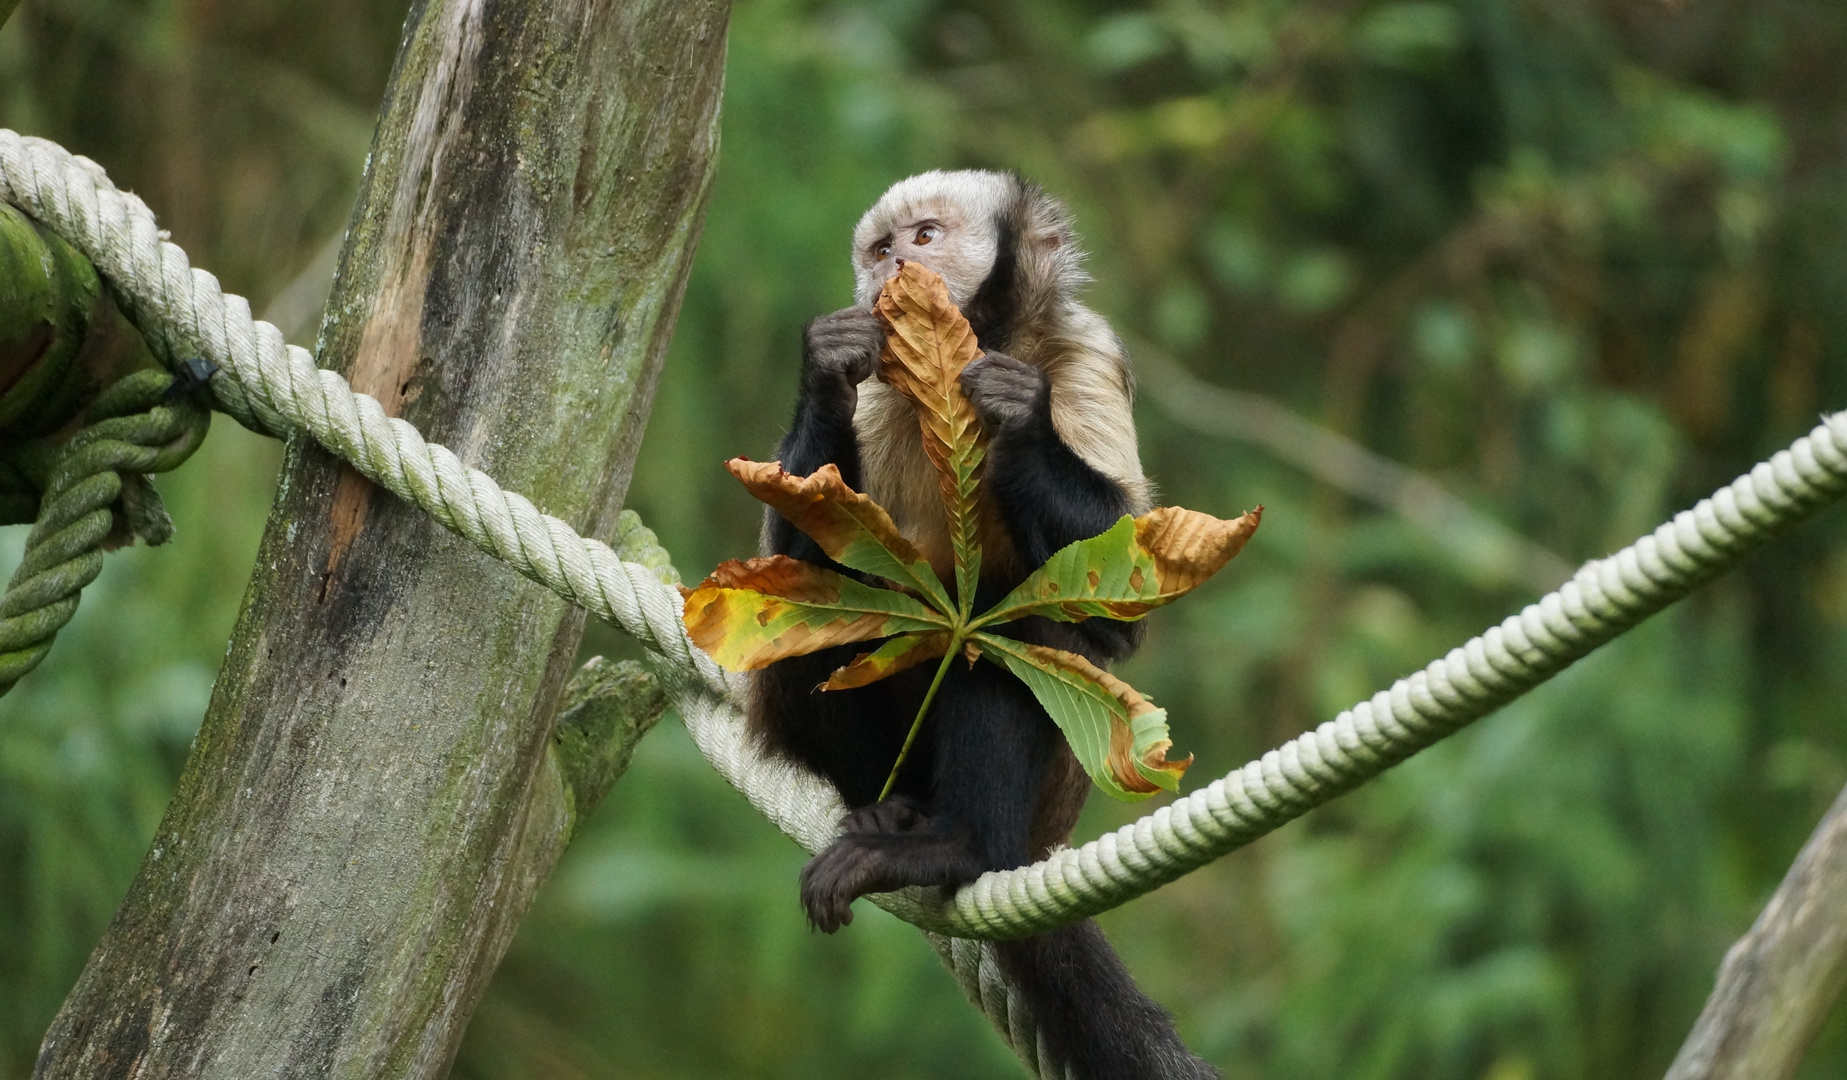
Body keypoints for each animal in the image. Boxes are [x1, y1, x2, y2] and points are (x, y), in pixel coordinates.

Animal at [742, 170, 1219, 1078]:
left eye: (925, 238)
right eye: (880, 248)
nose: (894, 269)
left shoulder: (1086, 355)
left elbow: (1119, 605)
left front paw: (1017, 418)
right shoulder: (879, 386)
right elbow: (793, 567)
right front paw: (823, 365)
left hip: (1054, 790)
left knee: (1013, 633)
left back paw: (961, 845)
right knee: (815, 620)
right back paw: (891, 814)